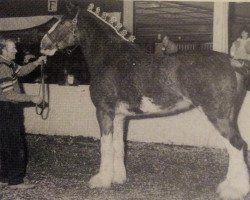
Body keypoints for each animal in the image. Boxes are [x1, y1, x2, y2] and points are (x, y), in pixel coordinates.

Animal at [40, 3, 250, 200]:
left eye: (62, 22)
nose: (43, 43)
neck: (110, 56)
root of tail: (232, 61)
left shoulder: (104, 111)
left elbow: (105, 146)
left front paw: (101, 180)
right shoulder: (119, 116)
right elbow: (118, 146)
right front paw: (118, 178)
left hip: (217, 116)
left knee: (236, 145)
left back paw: (235, 191)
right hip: (229, 116)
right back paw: (228, 186)